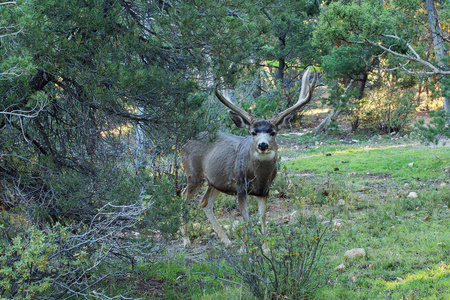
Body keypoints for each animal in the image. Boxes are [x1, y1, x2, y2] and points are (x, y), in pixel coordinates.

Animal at [181, 67, 318, 250]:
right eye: (253, 132)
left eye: (272, 132)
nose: (262, 145)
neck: (259, 176)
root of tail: (184, 142)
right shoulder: (240, 186)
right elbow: (247, 219)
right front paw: (249, 247)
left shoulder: (265, 190)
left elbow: (262, 217)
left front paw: (265, 248)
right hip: (193, 174)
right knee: (183, 197)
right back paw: (186, 240)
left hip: (215, 181)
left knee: (205, 203)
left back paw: (227, 241)